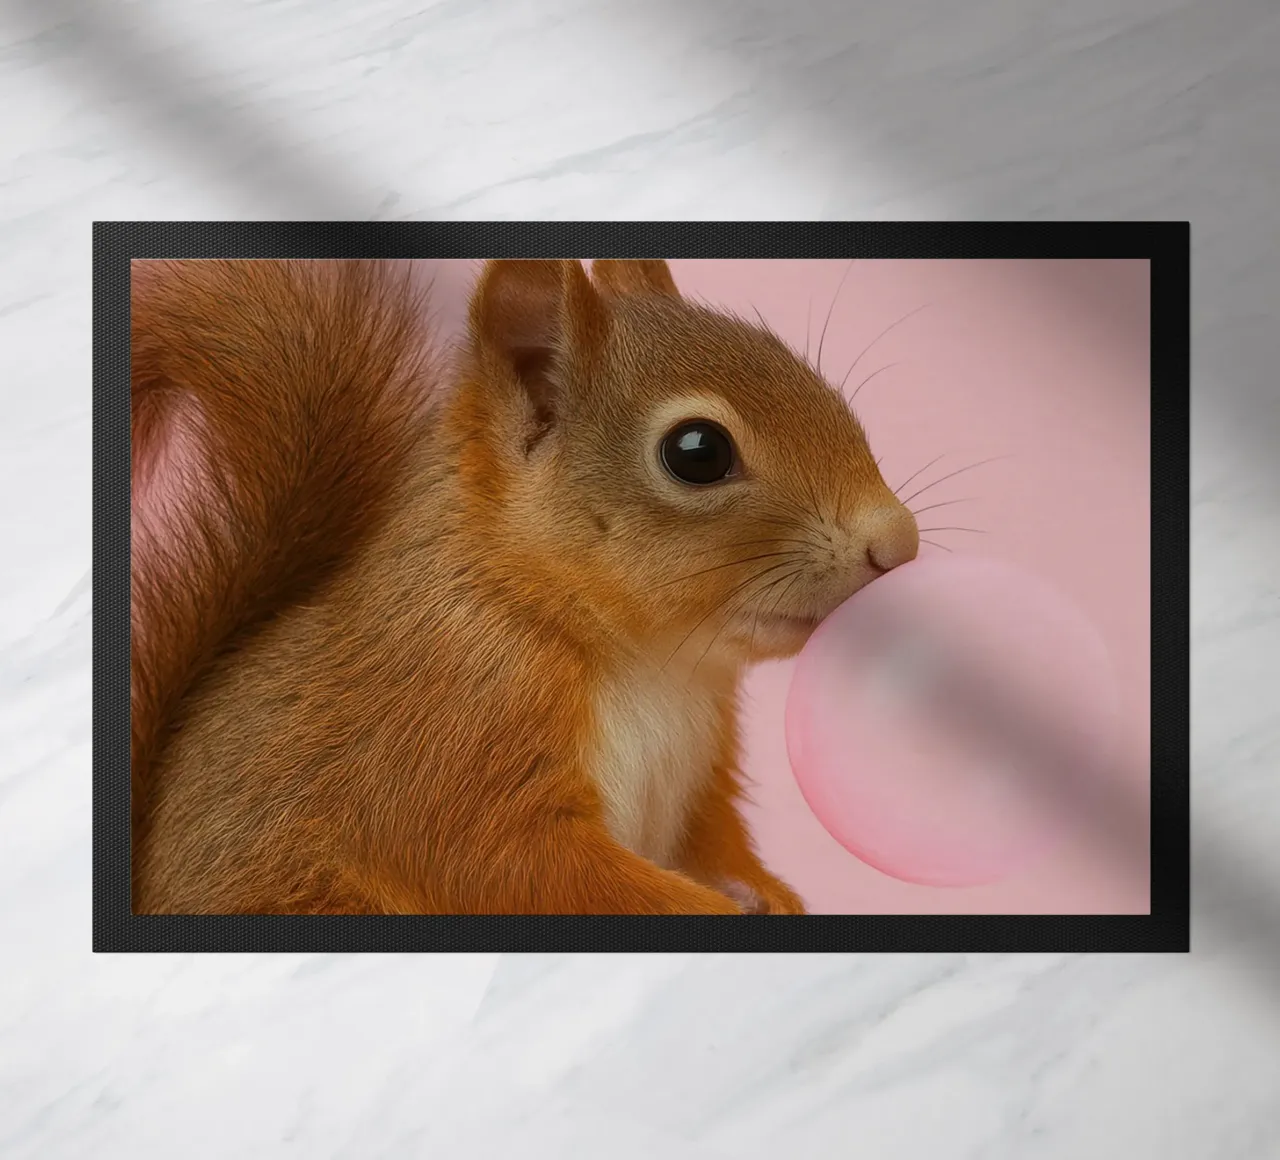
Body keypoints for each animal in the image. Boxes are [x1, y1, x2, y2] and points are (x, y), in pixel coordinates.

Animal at [129, 257, 919, 915]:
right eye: (698, 452)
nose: (899, 543)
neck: (654, 664)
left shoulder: (704, 782)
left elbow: (711, 846)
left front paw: (767, 896)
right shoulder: (449, 732)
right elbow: (518, 863)